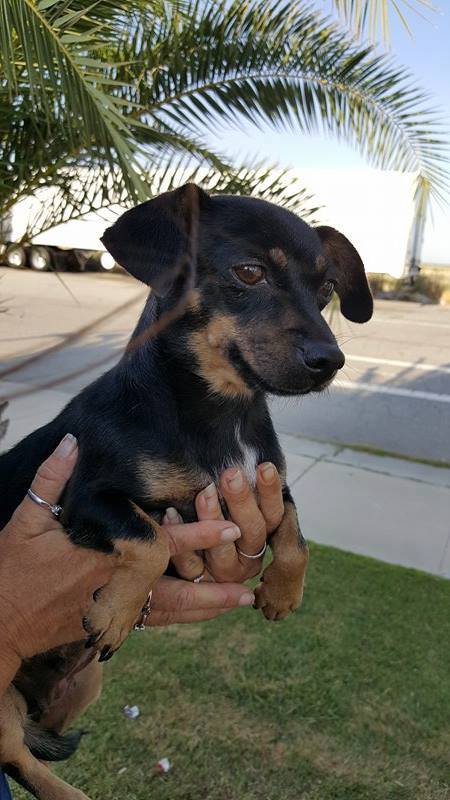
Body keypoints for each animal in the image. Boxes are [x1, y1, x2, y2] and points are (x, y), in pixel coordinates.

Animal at [0, 183, 372, 800]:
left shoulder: (265, 483)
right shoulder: (88, 496)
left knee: (24, 753)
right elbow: (149, 538)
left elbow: (295, 532)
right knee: (14, 755)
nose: (331, 361)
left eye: (325, 291)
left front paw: (281, 591)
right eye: (249, 272)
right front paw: (117, 611)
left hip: (82, 687)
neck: (224, 414)